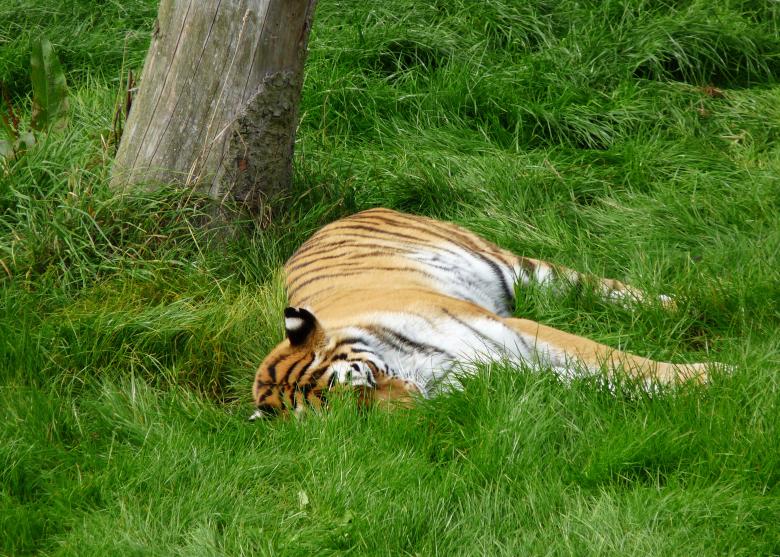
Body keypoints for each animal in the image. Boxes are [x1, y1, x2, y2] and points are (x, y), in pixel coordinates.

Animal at [251, 207, 721, 418]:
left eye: (364, 378)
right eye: (353, 414)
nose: (412, 407)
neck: (417, 366)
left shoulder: (515, 330)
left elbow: (620, 362)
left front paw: (717, 374)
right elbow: (593, 380)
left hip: (521, 271)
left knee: (594, 286)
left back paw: (688, 304)